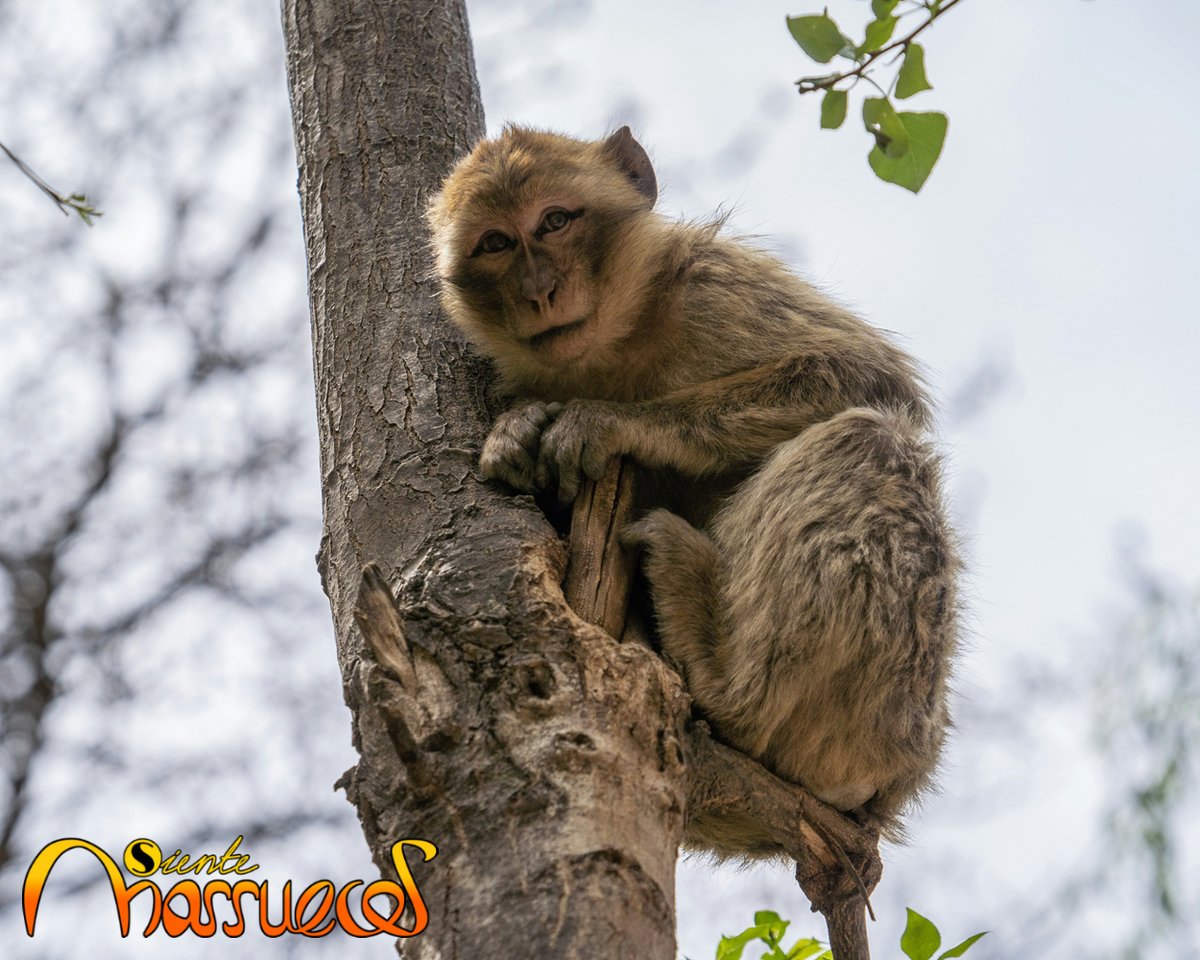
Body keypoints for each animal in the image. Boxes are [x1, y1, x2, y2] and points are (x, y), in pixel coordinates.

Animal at [425, 125, 959, 858]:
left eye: (555, 221)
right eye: (497, 243)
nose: (539, 288)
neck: (614, 349)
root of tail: (887, 792)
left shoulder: (711, 285)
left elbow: (866, 378)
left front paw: (608, 421)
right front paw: (519, 429)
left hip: (887, 712)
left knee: (869, 443)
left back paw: (728, 684)